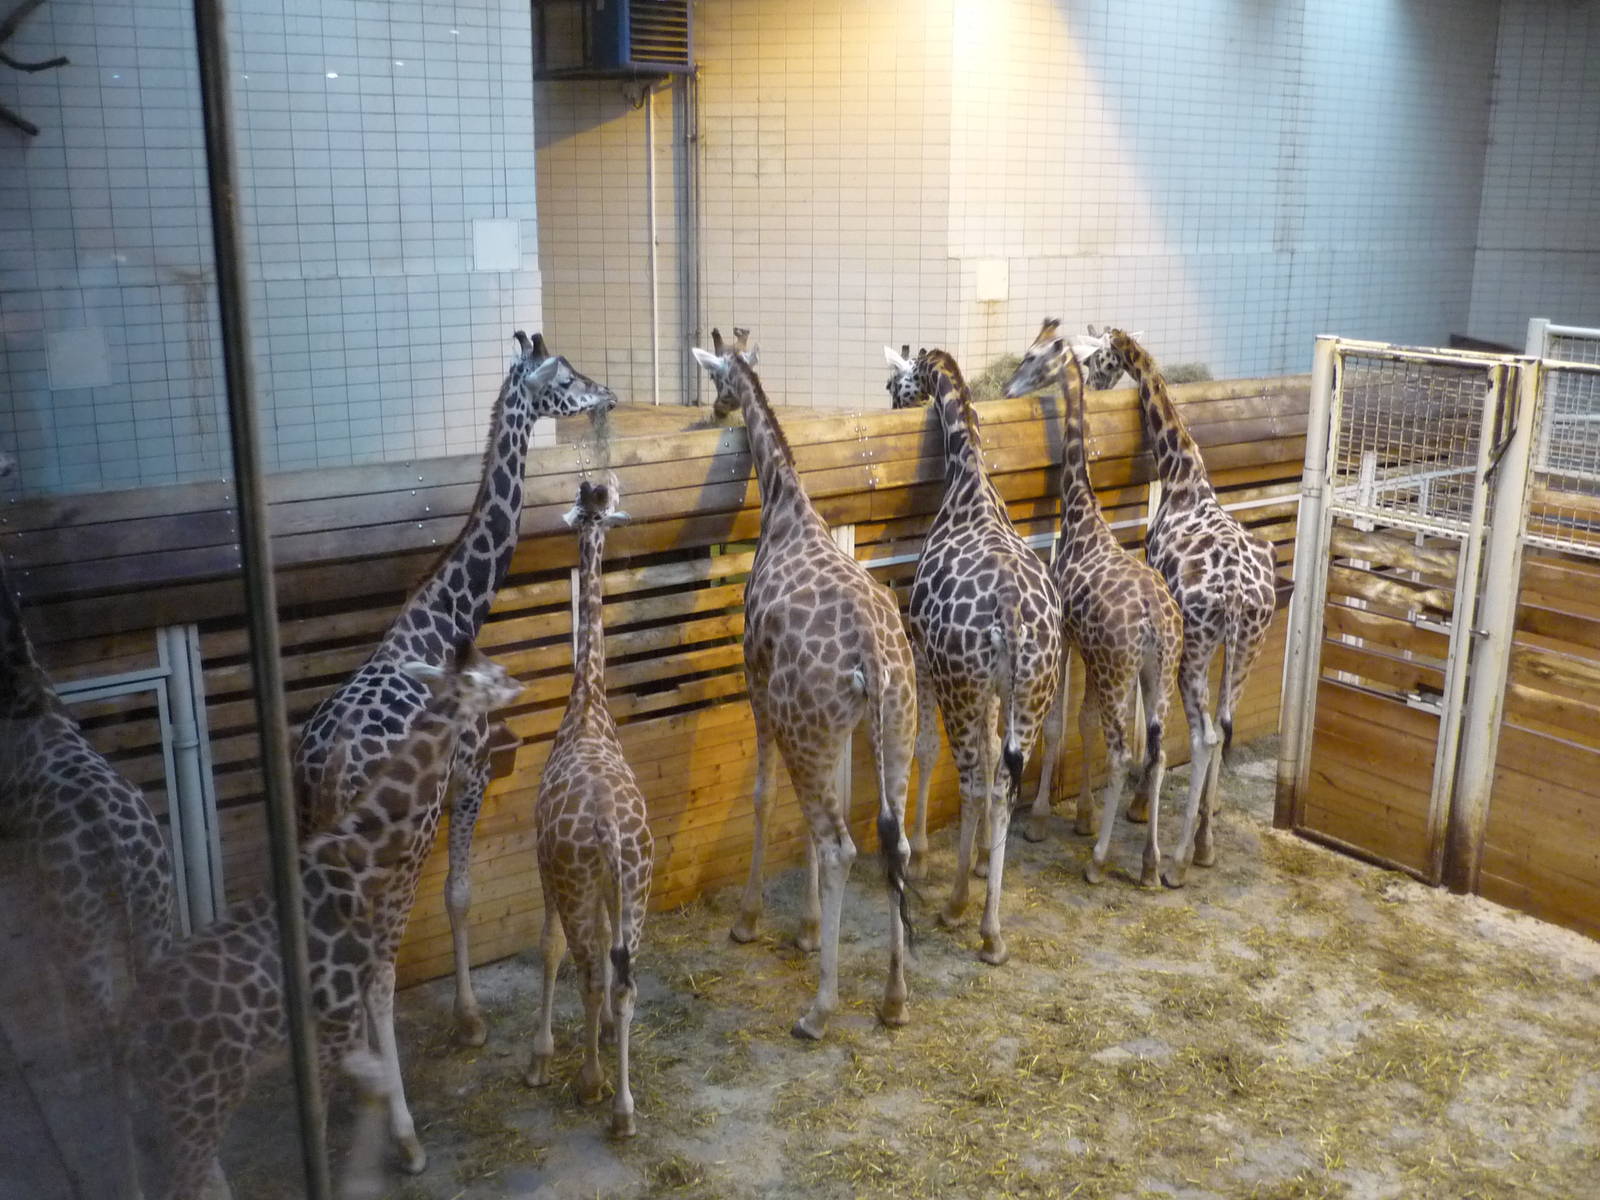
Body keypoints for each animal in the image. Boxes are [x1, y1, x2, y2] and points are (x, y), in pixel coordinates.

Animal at [290, 331, 615, 1172]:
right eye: (565, 377)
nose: (608, 393)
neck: (442, 618)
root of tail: (328, 765)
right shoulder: (468, 776)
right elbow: (462, 895)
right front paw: (470, 1022)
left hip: (322, 838)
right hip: (393, 848)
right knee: (377, 969)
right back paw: (403, 1135)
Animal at [692, 327, 915, 1039]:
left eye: (717, 379)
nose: (714, 410)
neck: (786, 506)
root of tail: (875, 651)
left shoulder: (759, 686)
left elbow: (765, 798)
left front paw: (752, 921)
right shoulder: (837, 724)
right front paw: (809, 930)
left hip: (803, 724)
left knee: (841, 845)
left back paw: (819, 1010)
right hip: (896, 723)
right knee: (893, 841)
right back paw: (894, 999)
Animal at [883, 346, 1062, 965]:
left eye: (896, 385)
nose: (894, 404)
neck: (970, 484)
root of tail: (1008, 611)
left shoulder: (930, 658)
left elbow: (929, 752)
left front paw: (936, 863)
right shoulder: (996, 688)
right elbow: (992, 757)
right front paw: (988, 858)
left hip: (960, 684)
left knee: (970, 779)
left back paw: (961, 907)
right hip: (1032, 687)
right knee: (1003, 781)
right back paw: (994, 928)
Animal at [1001, 320, 1182, 886]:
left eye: (1032, 356)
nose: (1007, 389)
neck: (1082, 512)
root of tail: (1155, 626)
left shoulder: (1065, 637)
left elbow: (1059, 725)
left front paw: (1041, 820)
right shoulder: (1085, 646)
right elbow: (1080, 723)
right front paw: (1078, 816)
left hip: (1119, 668)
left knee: (1123, 752)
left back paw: (1100, 862)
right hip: (1159, 670)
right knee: (1157, 752)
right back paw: (1149, 864)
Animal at [1094, 328, 1278, 887]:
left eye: (1098, 360)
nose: (1093, 381)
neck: (1183, 476)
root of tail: (1238, 597)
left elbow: (1152, 723)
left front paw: (1139, 807)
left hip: (1196, 646)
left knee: (1204, 736)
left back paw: (1174, 861)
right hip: (1249, 645)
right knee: (1223, 726)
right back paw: (1204, 843)